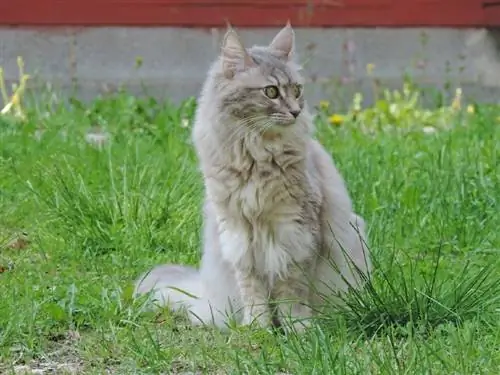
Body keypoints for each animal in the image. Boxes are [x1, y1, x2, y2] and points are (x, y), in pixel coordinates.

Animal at [134, 22, 372, 334]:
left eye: (296, 90)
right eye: (271, 91)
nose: (296, 112)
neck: (256, 155)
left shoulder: (296, 232)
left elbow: (291, 289)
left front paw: (296, 327)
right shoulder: (238, 235)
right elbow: (253, 290)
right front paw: (259, 329)